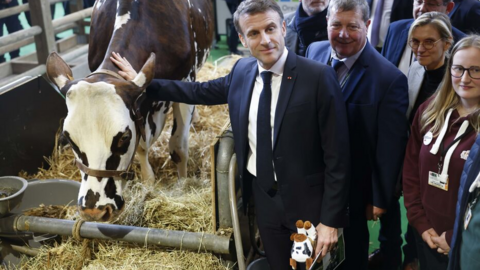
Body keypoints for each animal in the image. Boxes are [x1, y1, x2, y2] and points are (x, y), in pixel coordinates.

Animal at [45, 0, 214, 221]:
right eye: (69, 139)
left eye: (124, 138)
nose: (94, 211)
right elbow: (141, 148)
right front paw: (148, 182)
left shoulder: (187, 80)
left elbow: (178, 147)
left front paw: (183, 185)